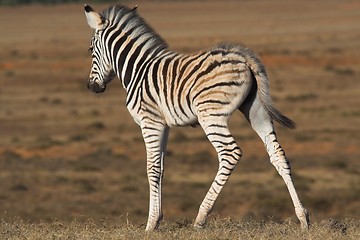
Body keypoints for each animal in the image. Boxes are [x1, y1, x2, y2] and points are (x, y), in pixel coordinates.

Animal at [83, 3, 310, 232]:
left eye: (91, 50)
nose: (92, 87)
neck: (137, 69)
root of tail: (242, 57)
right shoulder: (164, 125)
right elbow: (161, 167)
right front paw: (158, 218)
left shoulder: (150, 122)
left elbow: (152, 168)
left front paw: (151, 223)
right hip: (256, 110)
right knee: (278, 154)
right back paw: (303, 218)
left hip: (210, 115)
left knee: (230, 153)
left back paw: (201, 218)